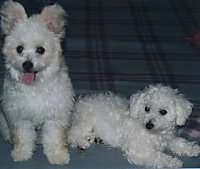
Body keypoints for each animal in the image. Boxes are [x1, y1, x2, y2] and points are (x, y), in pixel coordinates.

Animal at [0, 0, 74, 165]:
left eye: (41, 50)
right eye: (19, 49)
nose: (27, 64)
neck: (36, 86)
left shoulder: (54, 116)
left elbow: (53, 138)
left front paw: (57, 156)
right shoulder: (20, 117)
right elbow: (23, 138)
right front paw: (22, 153)